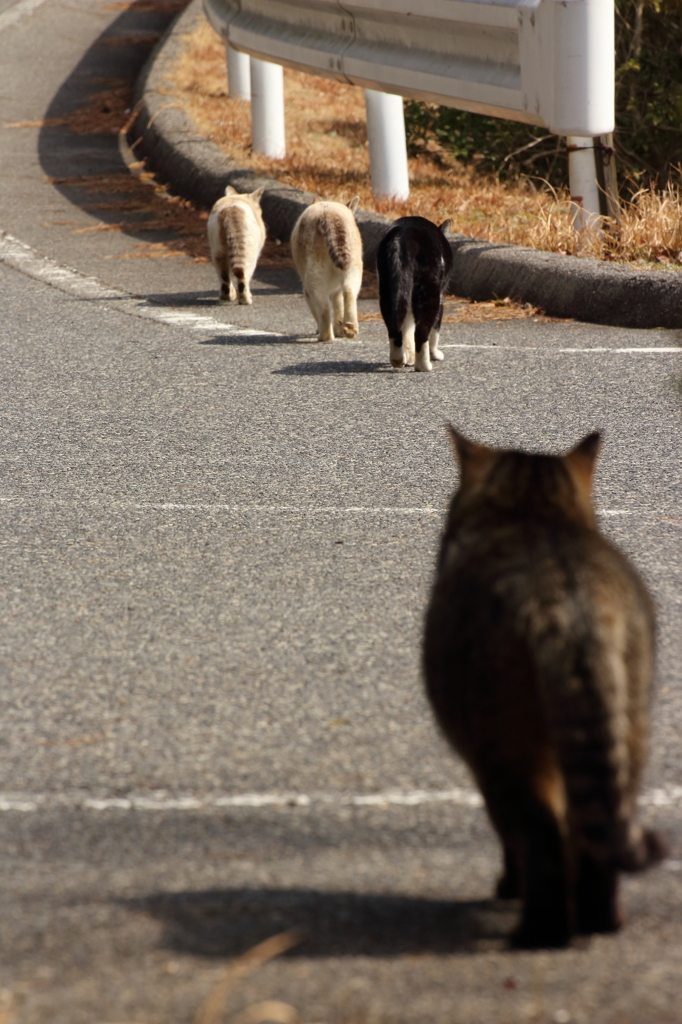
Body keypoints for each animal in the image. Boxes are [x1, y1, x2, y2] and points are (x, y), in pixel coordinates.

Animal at [372, 216, 450, 372]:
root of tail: (403, 235)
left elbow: (407, 328)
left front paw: (409, 358)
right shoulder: (440, 299)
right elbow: (435, 330)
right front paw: (435, 355)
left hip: (388, 288)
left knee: (394, 325)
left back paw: (398, 360)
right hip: (429, 290)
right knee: (422, 330)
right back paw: (424, 365)